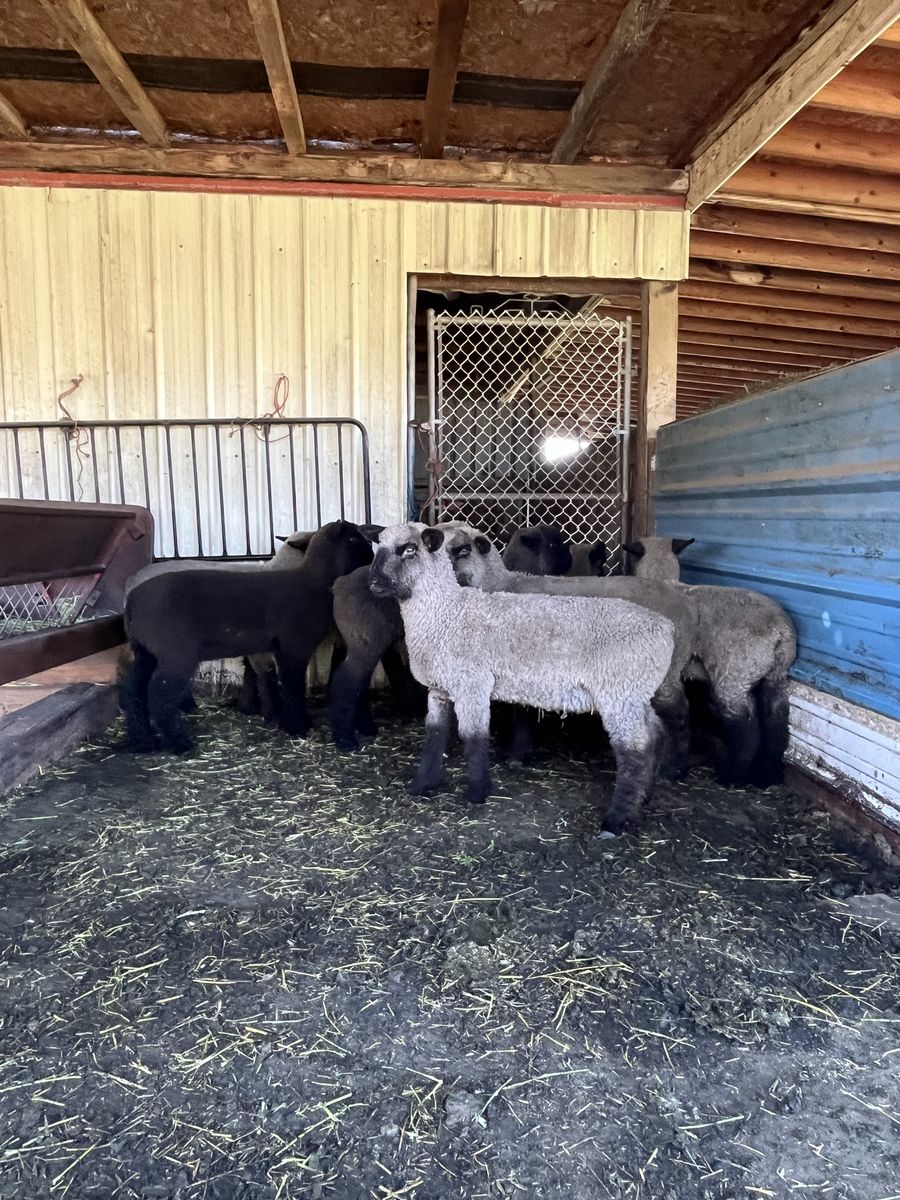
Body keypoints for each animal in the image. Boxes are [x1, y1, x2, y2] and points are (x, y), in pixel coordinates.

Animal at [121, 520, 374, 754]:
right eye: (354, 538)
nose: (372, 556)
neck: (312, 580)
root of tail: (132, 598)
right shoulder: (294, 644)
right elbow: (292, 684)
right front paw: (298, 726)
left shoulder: (276, 647)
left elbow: (276, 680)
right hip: (175, 652)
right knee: (159, 694)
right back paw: (180, 744)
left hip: (145, 651)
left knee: (134, 691)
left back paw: (143, 741)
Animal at [442, 524, 697, 777]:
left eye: (463, 550)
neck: (501, 586)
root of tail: (686, 605)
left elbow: (521, 712)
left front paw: (517, 754)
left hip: (667, 671)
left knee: (679, 711)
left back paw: (673, 767)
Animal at [625, 536, 797, 788]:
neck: (664, 580)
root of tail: (781, 631)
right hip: (776, 675)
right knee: (777, 722)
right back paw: (768, 776)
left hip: (734, 675)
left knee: (745, 725)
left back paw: (732, 776)